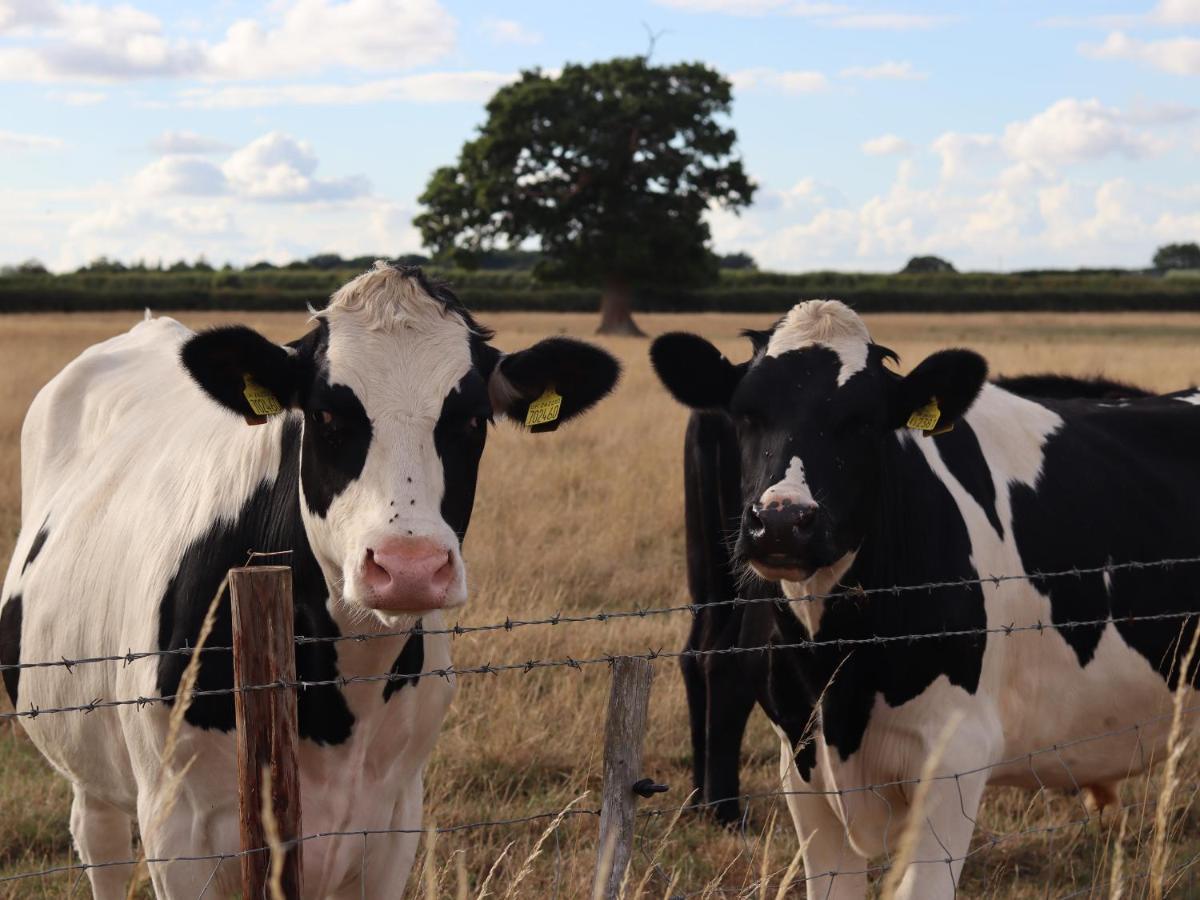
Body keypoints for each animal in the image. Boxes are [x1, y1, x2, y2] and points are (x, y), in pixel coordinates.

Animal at [0, 260, 619, 900]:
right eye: (324, 415)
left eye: (473, 419)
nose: (408, 567)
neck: (340, 704)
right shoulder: (177, 830)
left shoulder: (393, 819)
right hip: (89, 761)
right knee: (100, 844)